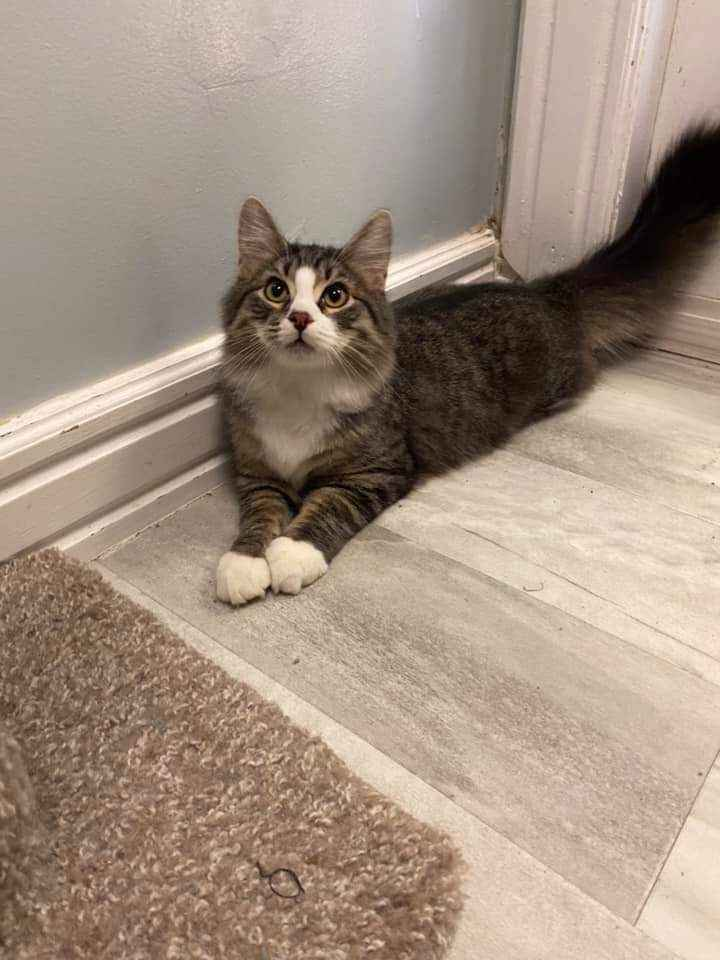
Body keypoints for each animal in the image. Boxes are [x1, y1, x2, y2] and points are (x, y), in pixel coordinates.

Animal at [217, 125, 720, 605]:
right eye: (276, 291)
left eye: (335, 296)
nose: (300, 318)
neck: (299, 390)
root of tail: (545, 291)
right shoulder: (257, 472)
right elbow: (259, 517)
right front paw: (244, 562)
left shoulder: (377, 471)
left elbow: (327, 508)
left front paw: (293, 553)